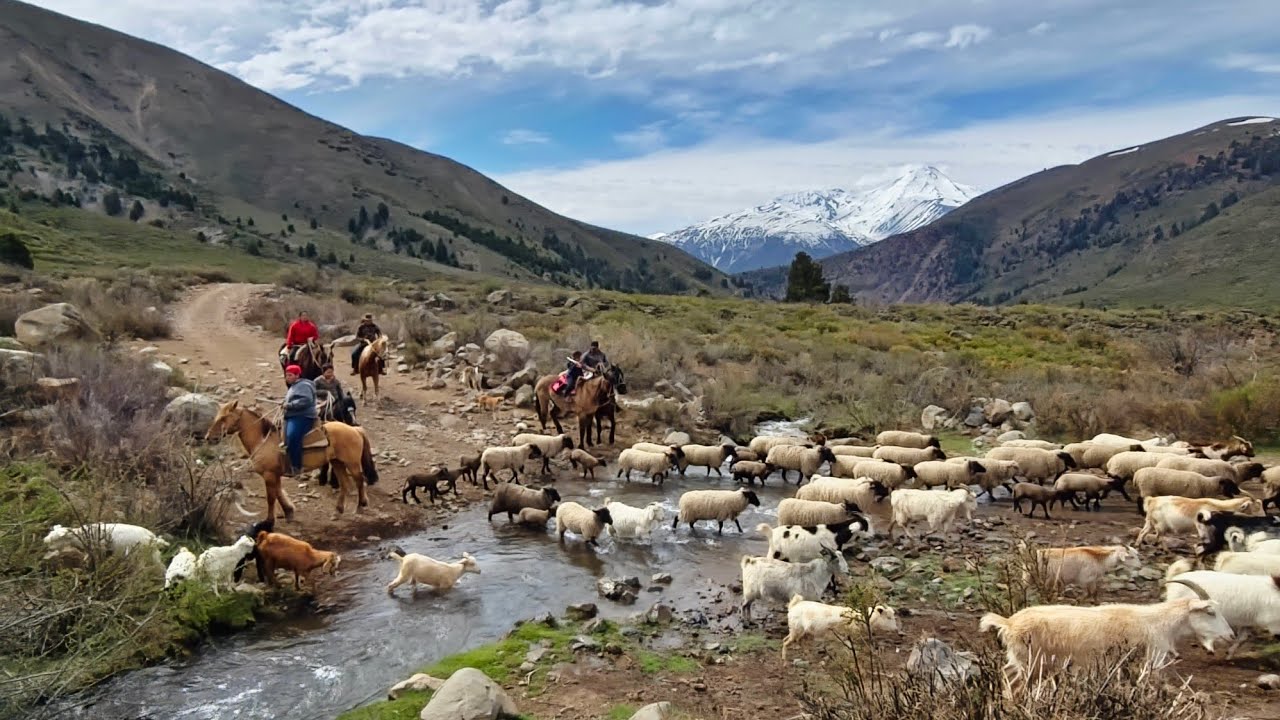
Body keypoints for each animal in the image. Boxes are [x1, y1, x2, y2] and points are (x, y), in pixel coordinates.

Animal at [980, 579, 1232, 694]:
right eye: (1210, 612)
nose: (1230, 635)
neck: (1157, 622)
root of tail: (1009, 623)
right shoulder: (1149, 662)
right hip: (1030, 664)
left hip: (1020, 661)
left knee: (1006, 675)